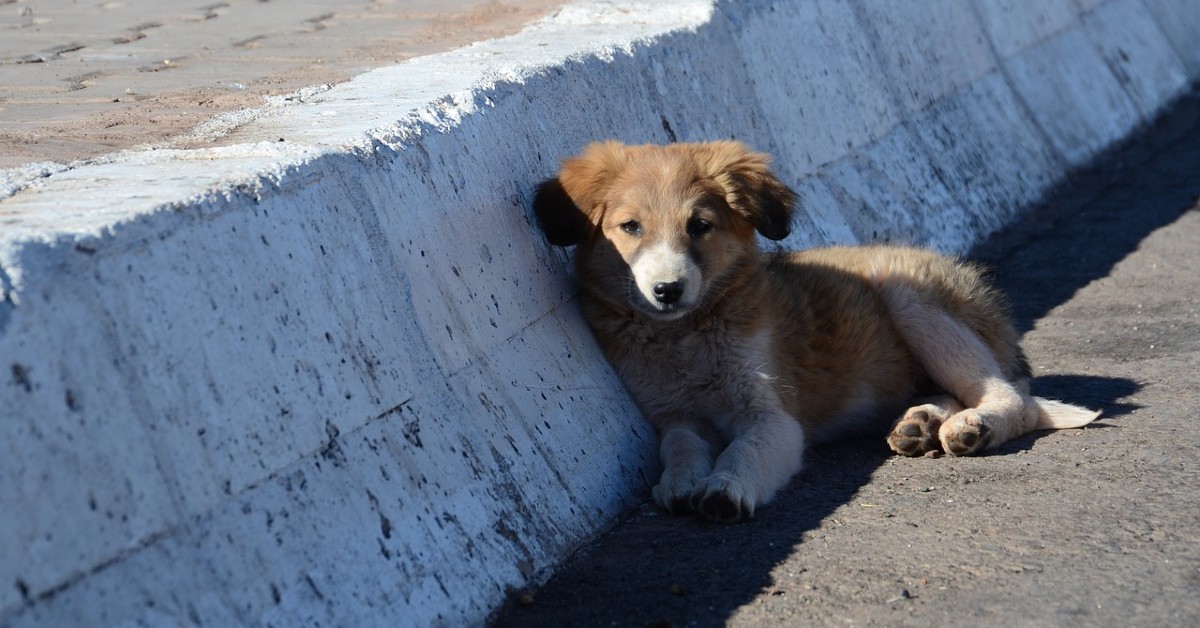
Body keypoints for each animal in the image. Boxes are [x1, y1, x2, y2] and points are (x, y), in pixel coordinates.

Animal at [532, 139, 1099, 523]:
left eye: (700, 226)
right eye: (630, 228)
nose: (667, 290)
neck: (687, 336)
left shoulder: (773, 417)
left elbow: (745, 451)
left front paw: (723, 489)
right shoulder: (672, 413)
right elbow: (680, 445)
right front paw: (681, 480)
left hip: (908, 294)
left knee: (1014, 398)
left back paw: (971, 427)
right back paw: (919, 423)